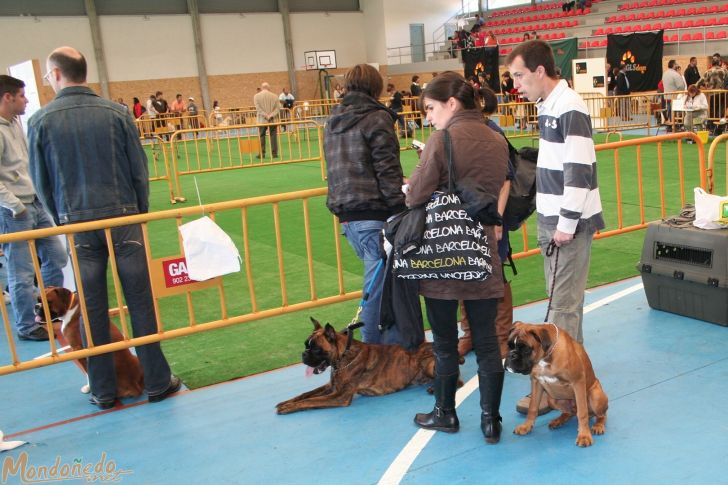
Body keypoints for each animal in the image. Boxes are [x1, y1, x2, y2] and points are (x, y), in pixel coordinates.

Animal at [278, 316, 438, 414]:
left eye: (316, 349)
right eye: (306, 345)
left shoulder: (339, 396)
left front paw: (289, 407)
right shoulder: (332, 386)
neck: (343, 356)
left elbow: (311, 401)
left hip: (428, 363)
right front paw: (286, 402)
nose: (304, 354)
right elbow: (307, 394)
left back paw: (433, 388)